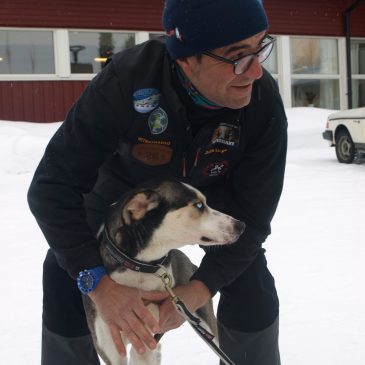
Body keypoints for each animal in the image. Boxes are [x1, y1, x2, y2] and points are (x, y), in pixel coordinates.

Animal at [83, 180, 245, 364]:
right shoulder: (110, 347)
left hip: (207, 325)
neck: (140, 267)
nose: (241, 225)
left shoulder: (147, 333)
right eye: (199, 205)